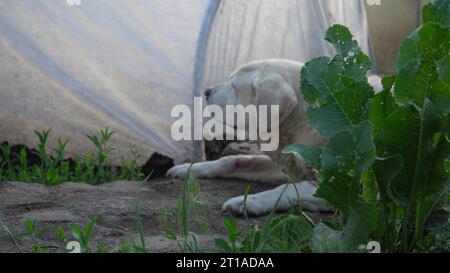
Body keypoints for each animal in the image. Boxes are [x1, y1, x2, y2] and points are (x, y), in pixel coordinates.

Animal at [167, 58, 382, 216]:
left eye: (234, 86)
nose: (206, 91)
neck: (304, 123)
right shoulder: (290, 164)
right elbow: (234, 159)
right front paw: (189, 168)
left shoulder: (355, 191)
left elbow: (293, 188)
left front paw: (248, 201)